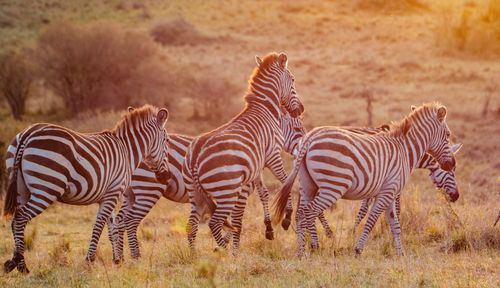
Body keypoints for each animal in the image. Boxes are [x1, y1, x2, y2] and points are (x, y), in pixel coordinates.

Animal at [1, 104, 171, 272]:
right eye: (165, 140)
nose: (166, 176)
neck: (127, 151)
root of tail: (28, 133)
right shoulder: (113, 193)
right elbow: (99, 225)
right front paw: (90, 260)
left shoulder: (109, 195)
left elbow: (112, 227)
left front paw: (117, 260)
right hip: (47, 188)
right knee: (20, 217)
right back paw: (20, 264)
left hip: (21, 189)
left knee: (16, 220)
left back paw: (16, 261)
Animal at [109, 109, 304, 260]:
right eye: (298, 129)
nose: (303, 148)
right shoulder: (236, 192)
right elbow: (237, 219)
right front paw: (229, 246)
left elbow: (261, 196)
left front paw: (267, 229)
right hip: (148, 189)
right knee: (130, 221)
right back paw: (135, 257)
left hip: (130, 193)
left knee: (117, 221)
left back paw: (120, 258)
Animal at [182, 51, 302, 252]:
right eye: (293, 79)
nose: (300, 109)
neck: (266, 110)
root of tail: (195, 157)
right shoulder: (273, 157)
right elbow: (286, 183)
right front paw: (286, 218)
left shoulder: (258, 165)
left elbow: (264, 193)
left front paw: (269, 228)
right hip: (226, 192)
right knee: (214, 223)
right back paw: (225, 251)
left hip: (195, 194)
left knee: (191, 226)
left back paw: (193, 255)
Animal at [274, 102, 458, 255]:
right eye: (448, 134)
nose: (451, 164)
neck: (405, 149)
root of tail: (309, 138)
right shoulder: (387, 192)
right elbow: (371, 219)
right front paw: (358, 249)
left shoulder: (389, 192)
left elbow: (395, 224)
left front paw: (400, 254)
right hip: (333, 187)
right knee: (310, 212)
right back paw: (313, 248)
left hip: (308, 184)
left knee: (300, 213)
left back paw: (302, 252)